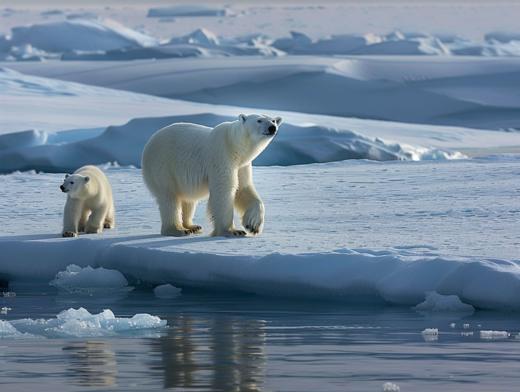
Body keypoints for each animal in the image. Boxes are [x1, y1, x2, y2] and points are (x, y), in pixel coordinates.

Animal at [141, 112, 280, 236]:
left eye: (273, 120)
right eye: (259, 120)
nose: (272, 127)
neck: (235, 146)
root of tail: (149, 143)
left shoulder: (242, 165)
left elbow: (243, 188)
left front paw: (252, 225)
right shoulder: (222, 155)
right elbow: (224, 189)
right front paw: (232, 231)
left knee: (188, 199)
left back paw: (192, 226)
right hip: (163, 166)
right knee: (170, 198)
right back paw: (177, 230)